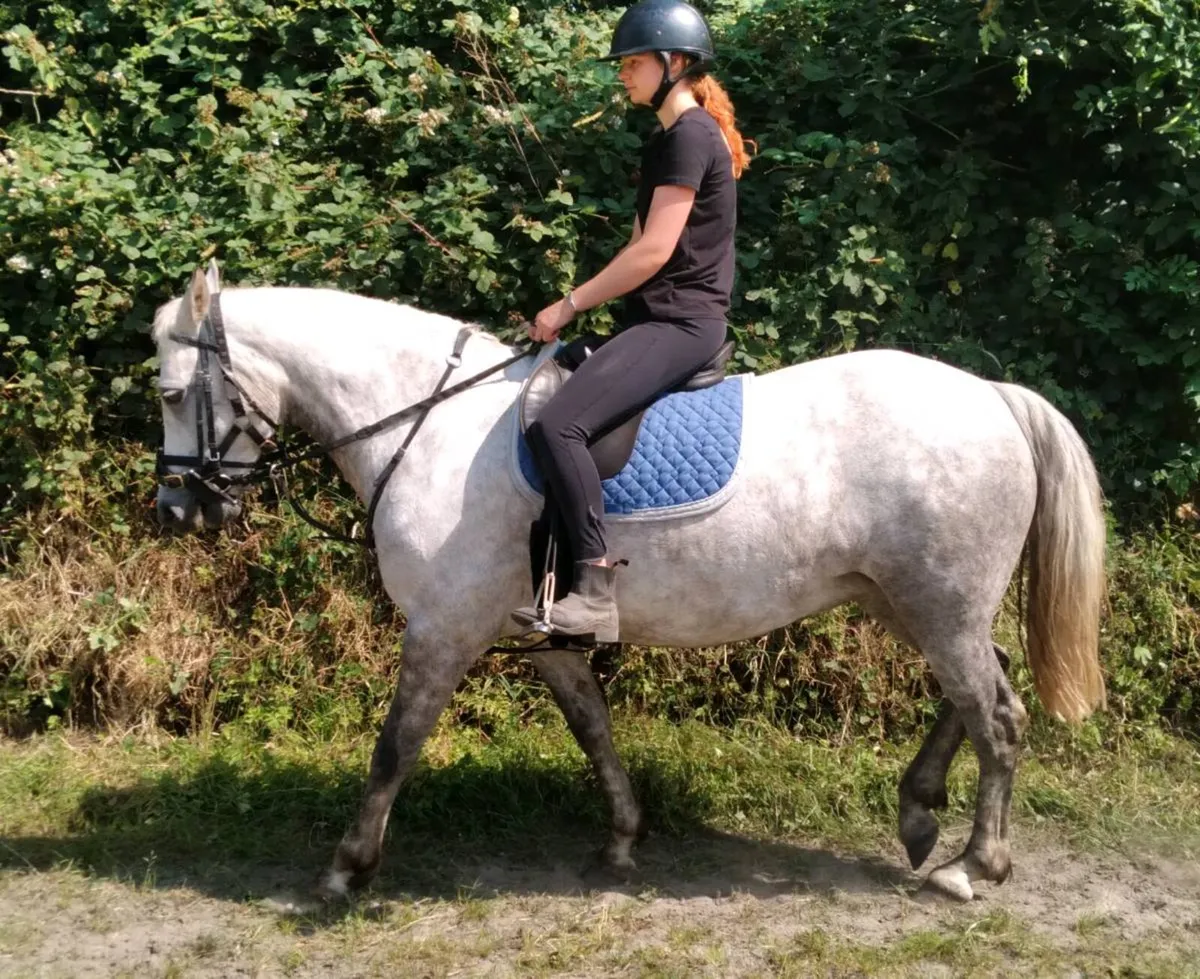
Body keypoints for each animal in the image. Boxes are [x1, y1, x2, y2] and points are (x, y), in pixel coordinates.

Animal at [153, 262, 1106, 903]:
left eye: (168, 392)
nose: (176, 508)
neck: (430, 425)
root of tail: (991, 394)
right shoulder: (540, 632)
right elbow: (592, 725)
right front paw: (621, 837)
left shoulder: (443, 628)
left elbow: (396, 744)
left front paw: (347, 868)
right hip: (911, 601)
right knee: (977, 693)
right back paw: (918, 815)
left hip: (936, 602)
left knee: (998, 714)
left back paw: (973, 864)